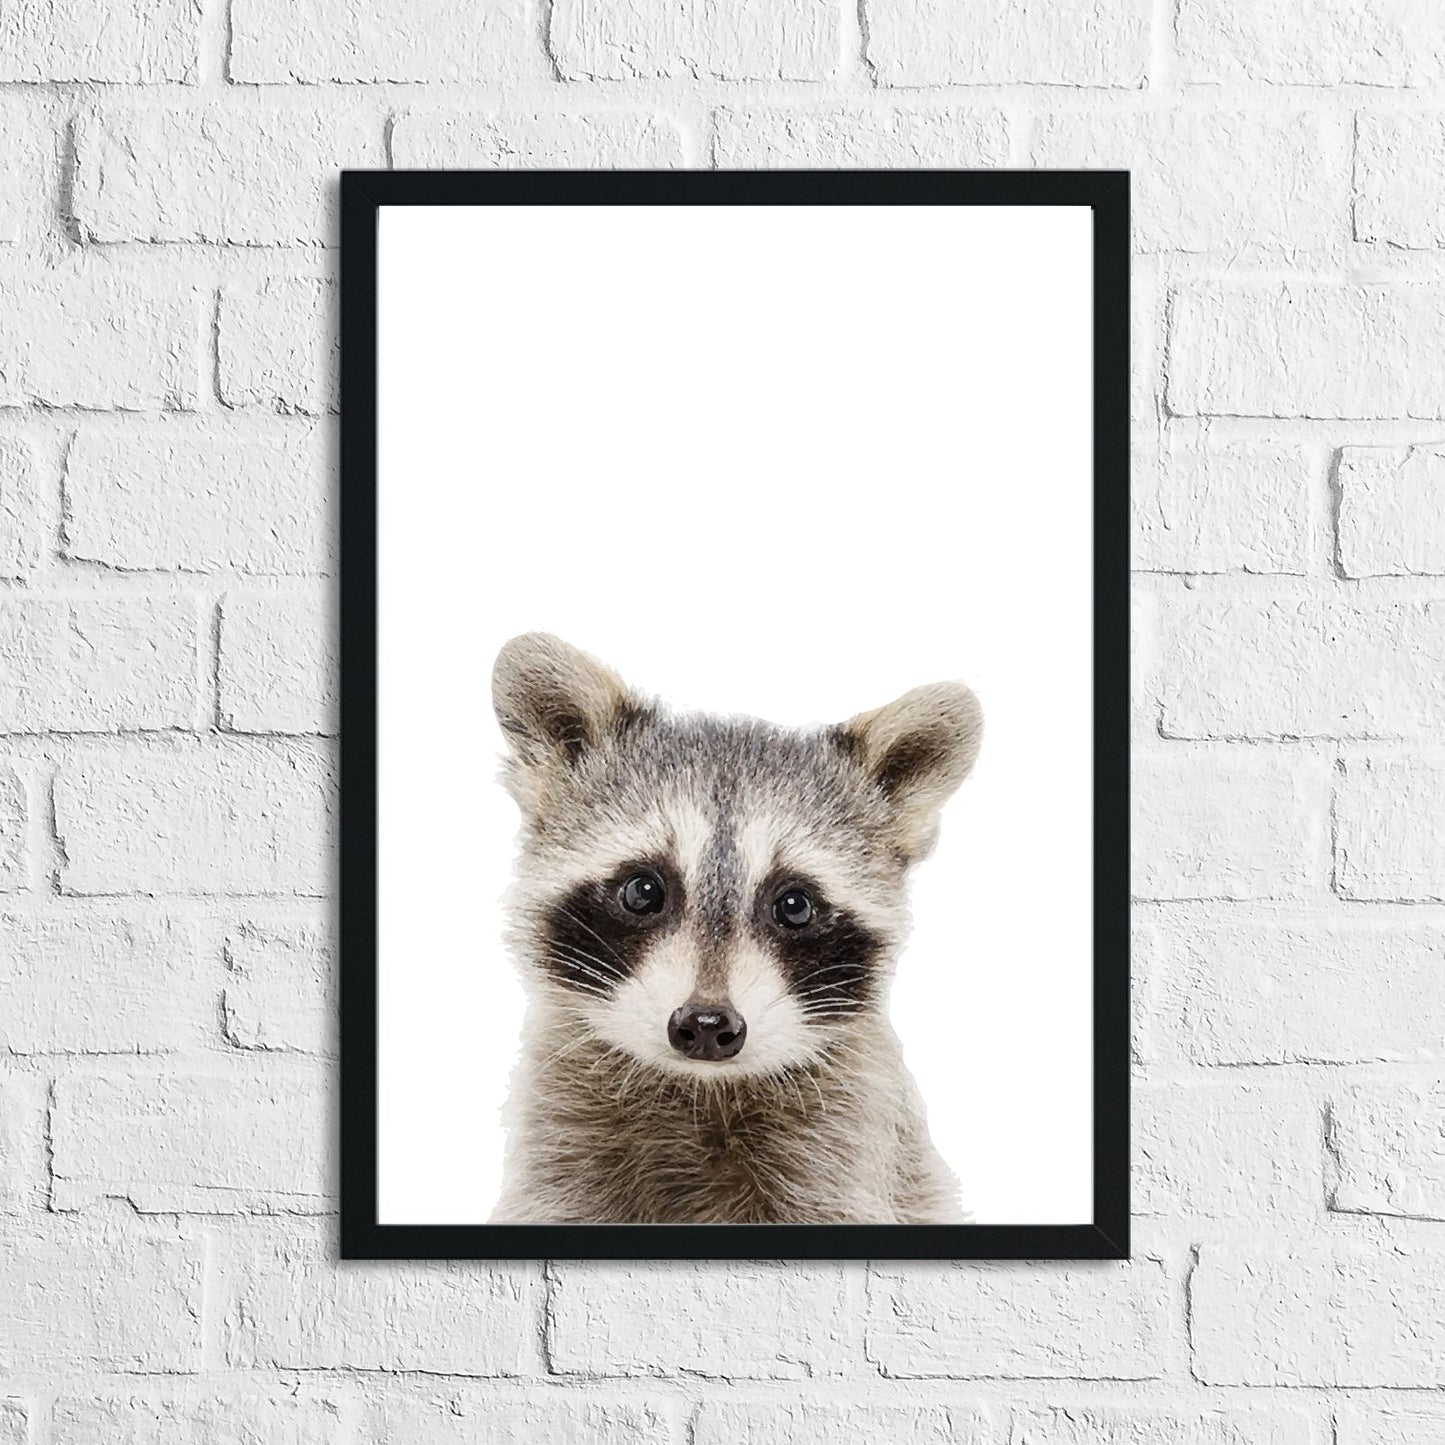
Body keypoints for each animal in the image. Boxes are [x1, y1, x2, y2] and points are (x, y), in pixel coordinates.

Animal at [489, 632, 983, 1225]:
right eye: (643, 891)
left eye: (794, 906)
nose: (706, 1024)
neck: (701, 1089)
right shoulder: (562, 1145)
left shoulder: (839, 1150)